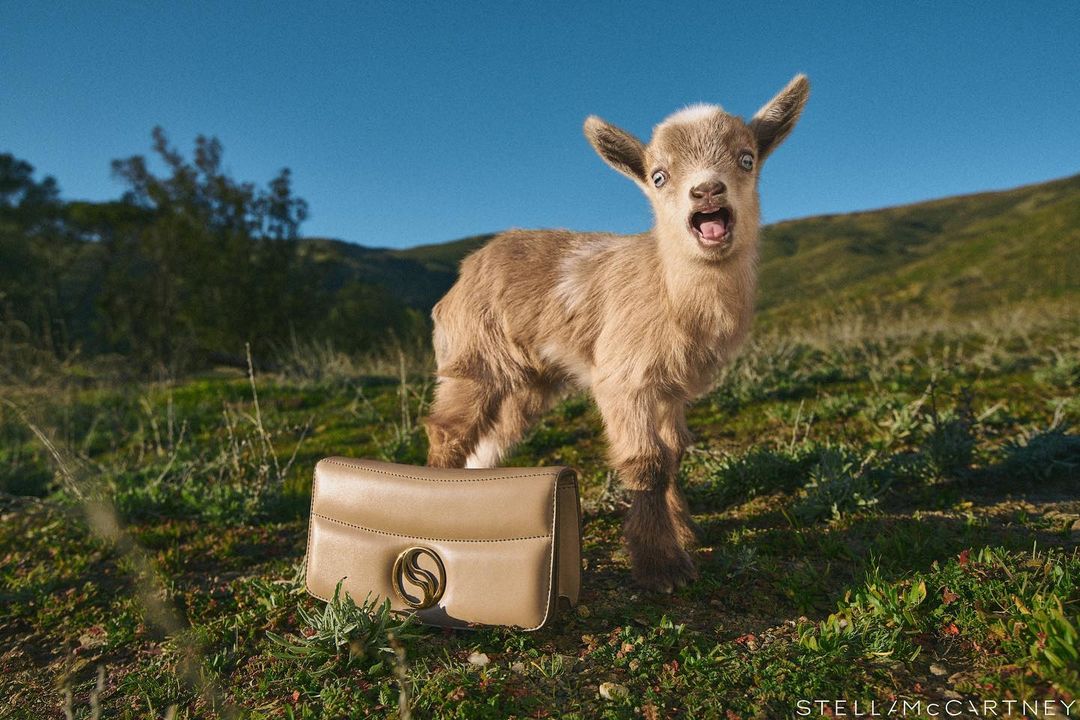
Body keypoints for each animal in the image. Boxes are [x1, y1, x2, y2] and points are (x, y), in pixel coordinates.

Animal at [424, 75, 810, 592]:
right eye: (658, 176)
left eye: (747, 158)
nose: (707, 190)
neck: (670, 293)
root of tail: (463, 274)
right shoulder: (625, 378)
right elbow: (646, 463)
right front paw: (660, 566)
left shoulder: (670, 389)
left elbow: (673, 454)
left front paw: (683, 530)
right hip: (473, 360)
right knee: (447, 430)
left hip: (528, 382)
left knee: (492, 439)